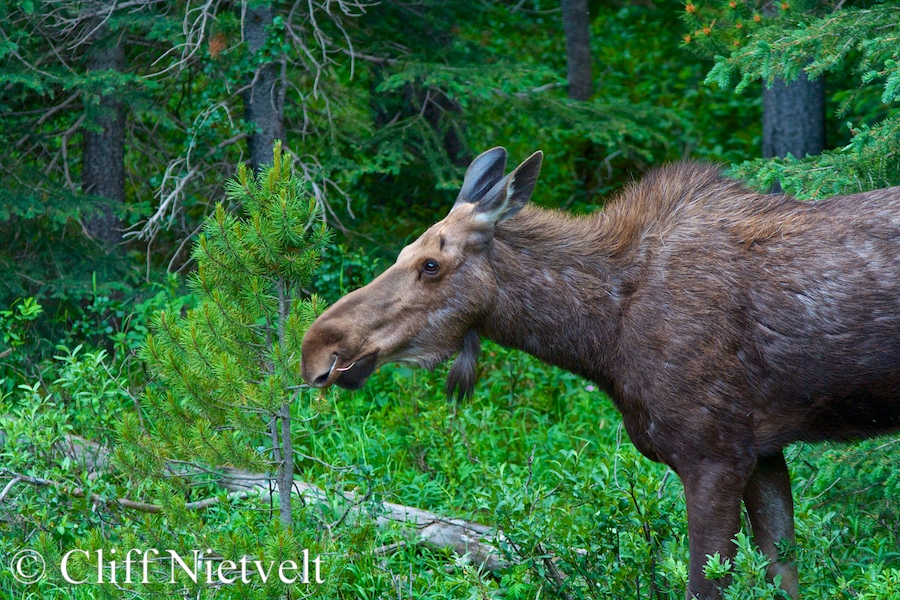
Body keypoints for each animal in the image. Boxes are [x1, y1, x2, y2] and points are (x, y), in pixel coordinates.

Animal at [300, 147, 900, 599]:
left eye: (431, 264)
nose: (317, 349)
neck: (602, 339)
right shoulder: (765, 452)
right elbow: (785, 573)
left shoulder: (714, 454)